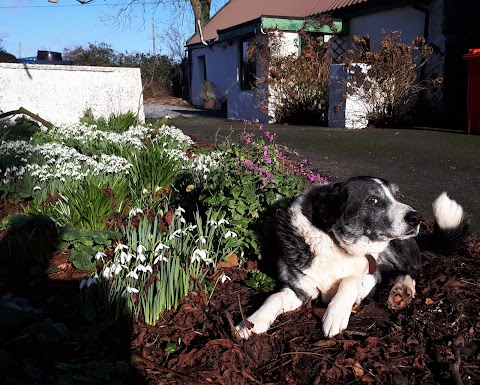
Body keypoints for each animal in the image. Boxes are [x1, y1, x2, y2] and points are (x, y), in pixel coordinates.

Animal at [236, 176, 468, 338]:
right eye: (373, 200)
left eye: (396, 197)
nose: (416, 217)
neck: (336, 243)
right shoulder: (299, 289)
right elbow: (274, 297)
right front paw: (252, 322)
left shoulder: (372, 277)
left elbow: (350, 280)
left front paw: (335, 314)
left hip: (398, 247)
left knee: (411, 270)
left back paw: (402, 290)